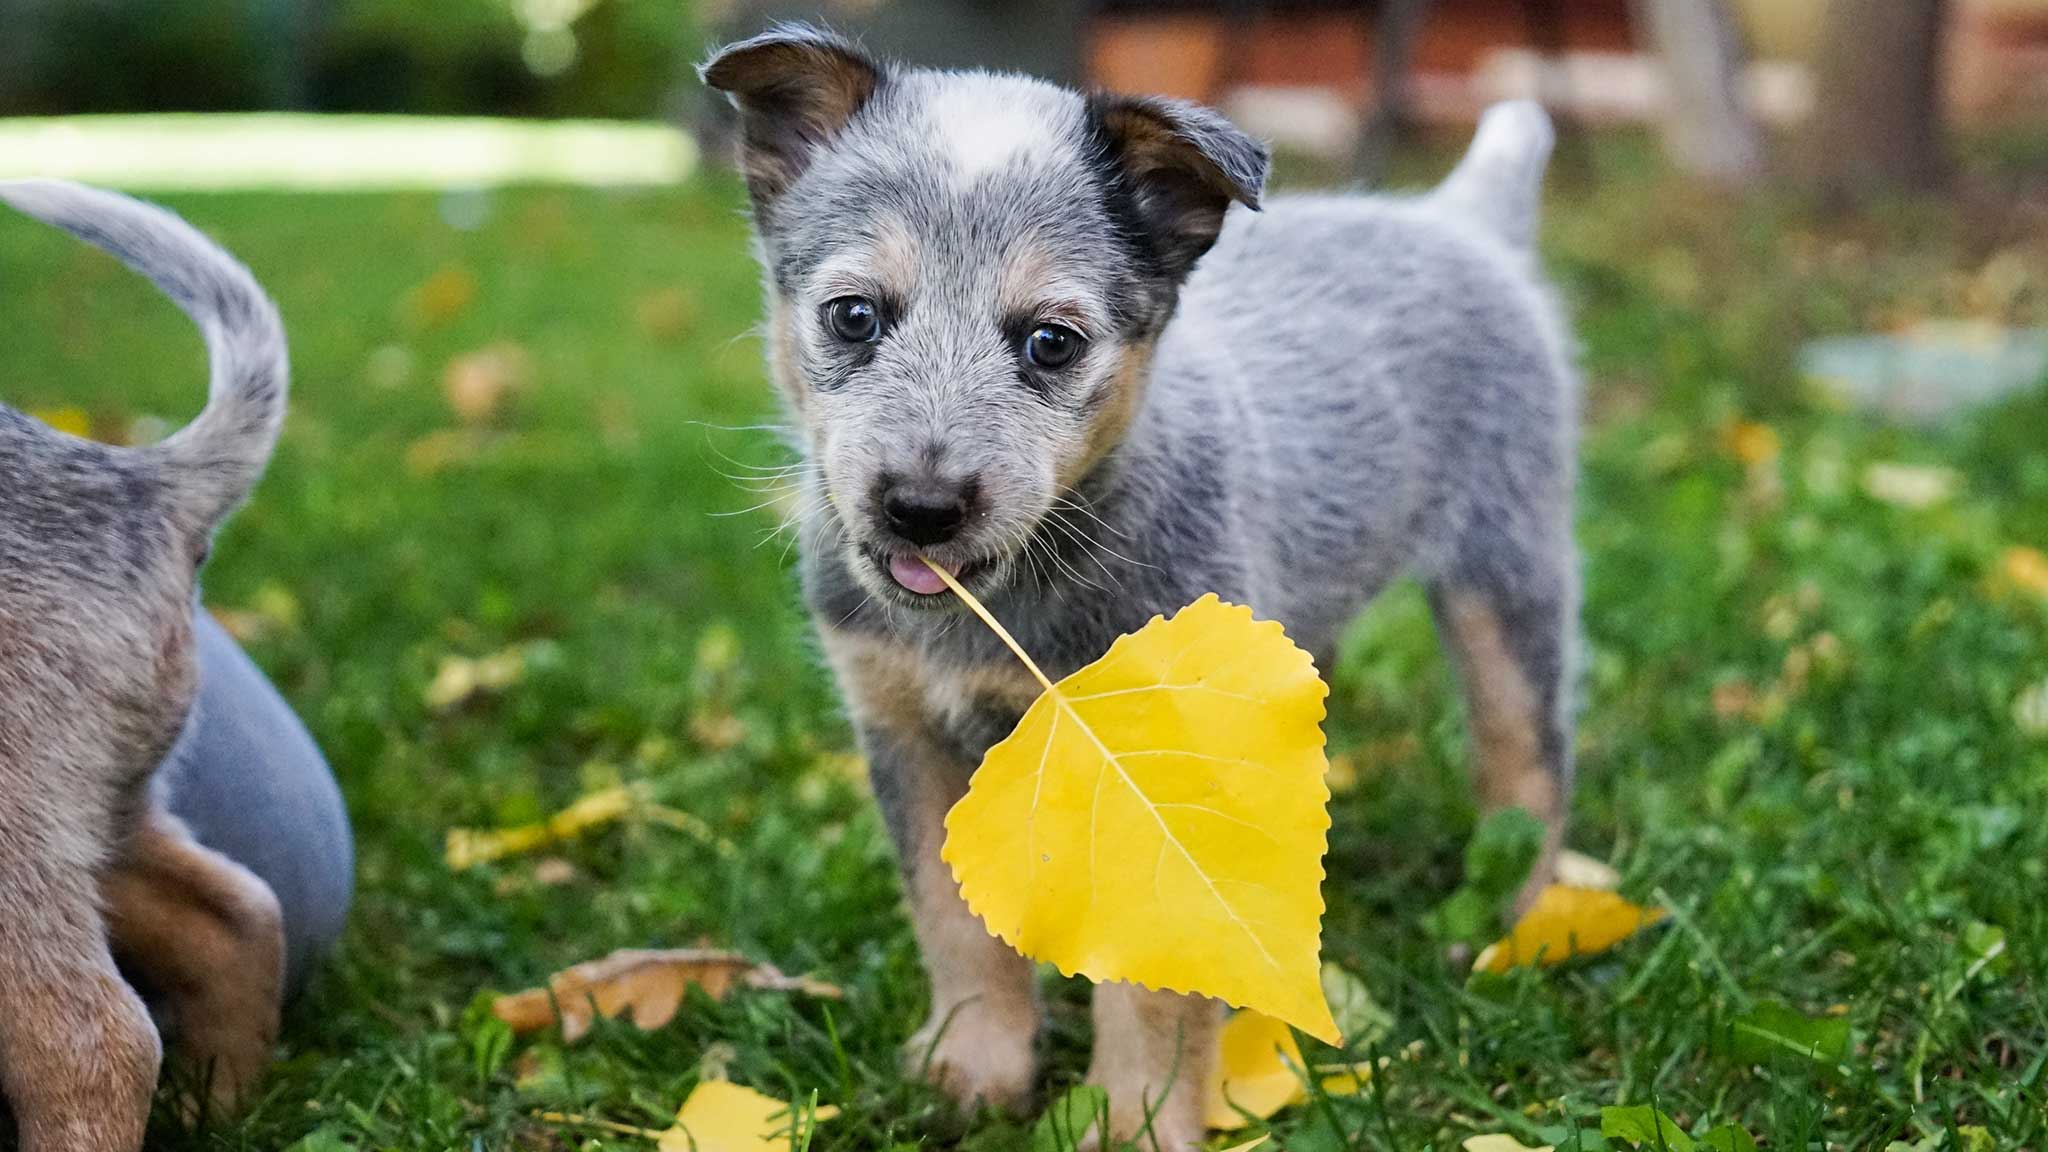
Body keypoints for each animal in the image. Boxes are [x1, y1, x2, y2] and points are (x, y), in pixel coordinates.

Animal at [704, 29, 1581, 1147]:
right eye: (853, 316)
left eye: (1050, 341)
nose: (921, 507)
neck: (1012, 611)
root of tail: (1457, 217)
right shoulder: (902, 729)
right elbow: (949, 920)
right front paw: (973, 1063)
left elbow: (1158, 984)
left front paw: (1138, 1120)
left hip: (1505, 572)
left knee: (1528, 760)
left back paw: (1516, 932)